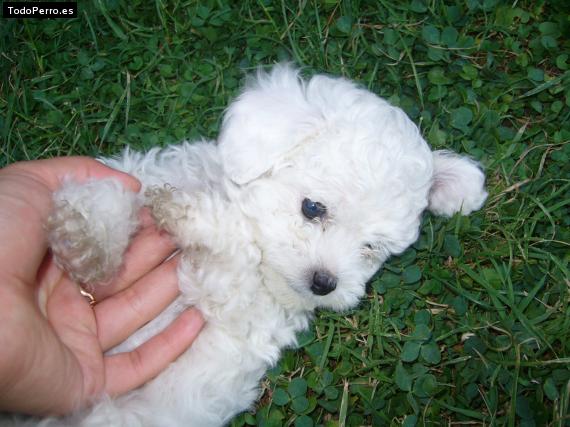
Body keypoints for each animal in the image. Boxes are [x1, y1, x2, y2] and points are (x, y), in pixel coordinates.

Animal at [42, 64, 486, 427]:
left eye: (371, 247)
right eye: (312, 208)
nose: (325, 283)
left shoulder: (235, 305)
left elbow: (237, 248)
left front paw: (188, 214)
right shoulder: (147, 176)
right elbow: (119, 193)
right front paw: (86, 236)